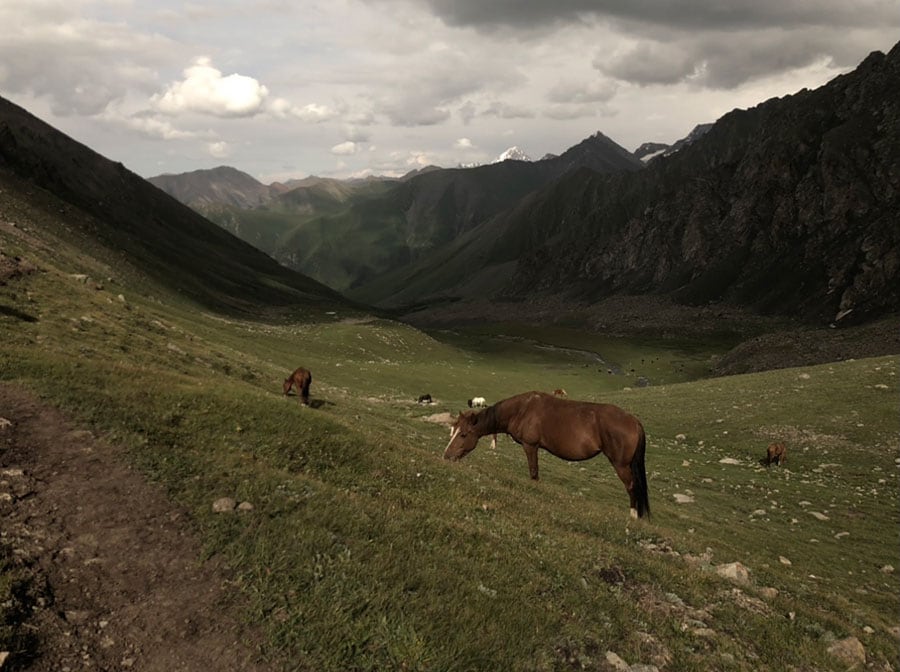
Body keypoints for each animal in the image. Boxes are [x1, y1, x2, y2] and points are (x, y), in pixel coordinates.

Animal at [442, 392, 648, 516]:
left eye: (463, 434)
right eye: (453, 430)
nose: (446, 456)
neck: (521, 409)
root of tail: (634, 420)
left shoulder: (530, 446)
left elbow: (534, 473)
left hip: (621, 465)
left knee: (631, 487)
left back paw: (633, 516)